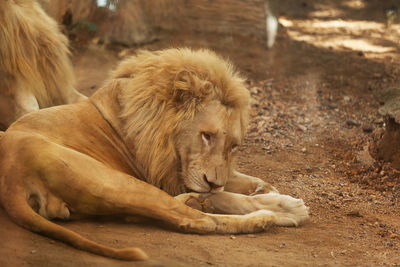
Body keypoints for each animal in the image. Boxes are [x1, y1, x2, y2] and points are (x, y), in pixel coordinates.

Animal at [0, 47, 310, 262]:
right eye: (206, 135)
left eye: (233, 146)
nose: (212, 182)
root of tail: (10, 179)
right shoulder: (161, 175)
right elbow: (225, 195)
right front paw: (287, 205)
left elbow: (231, 181)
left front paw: (262, 188)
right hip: (119, 182)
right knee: (195, 221)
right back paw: (265, 217)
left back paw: (198, 200)